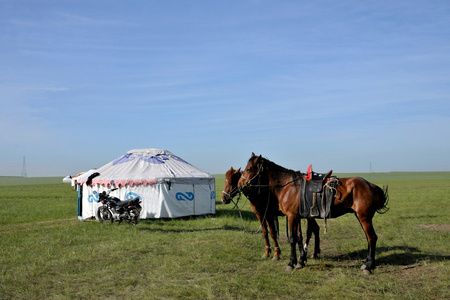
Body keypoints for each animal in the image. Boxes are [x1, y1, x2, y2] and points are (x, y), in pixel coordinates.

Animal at [237, 155, 388, 274]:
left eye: (249, 169)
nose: (240, 184)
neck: (287, 187)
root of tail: (371, 185)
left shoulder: (291, 216)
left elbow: (293, 239)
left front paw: (291, 263)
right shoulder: (297, 217)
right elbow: (299, 237)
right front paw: (299, 261)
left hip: (364, 217)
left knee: (372, 238)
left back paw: (369, 267)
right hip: (360, 216)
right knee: (369, 238)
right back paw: (366, 263)